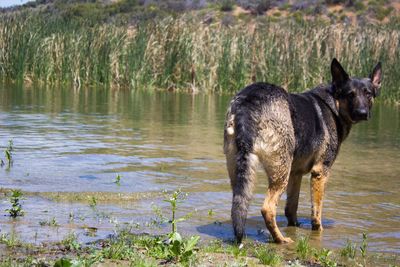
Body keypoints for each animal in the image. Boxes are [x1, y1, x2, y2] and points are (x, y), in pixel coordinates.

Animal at [223, 58, 382, 245]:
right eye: (350, 94)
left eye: (368, 94)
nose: (362, 113)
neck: (333, 102)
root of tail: (249, 101)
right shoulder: (320, 173)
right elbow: (317, 213)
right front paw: (317, 233)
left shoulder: (296, 174)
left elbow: (291, 208)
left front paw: (296, 226)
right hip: (280, 172)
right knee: (267, 209)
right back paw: (281, 239)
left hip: (242, 172)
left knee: (238, 205)